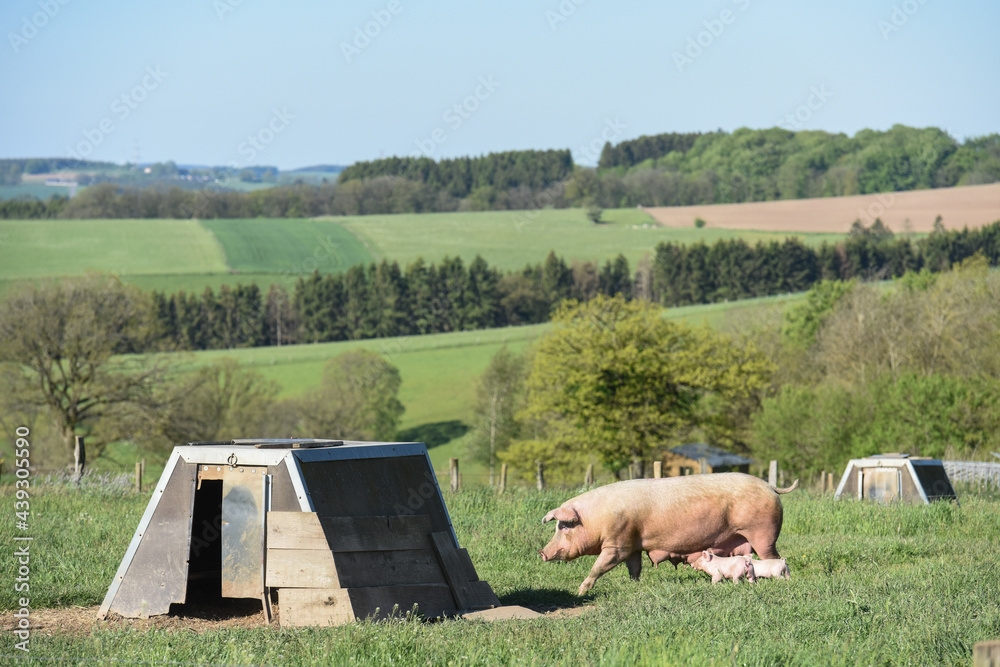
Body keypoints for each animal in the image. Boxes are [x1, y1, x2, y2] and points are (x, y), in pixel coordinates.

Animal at [540, 474, 796, 596]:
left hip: (763, 533)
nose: (541, 552)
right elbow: (634, 568)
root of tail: (771, 487)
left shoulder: (617, 544)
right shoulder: (633, 545)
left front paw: (580, 591)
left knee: (772, 556)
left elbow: (599, 567)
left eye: (563, 526)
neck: (595, 518)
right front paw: (634, 585)